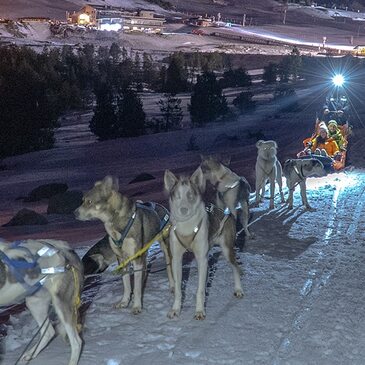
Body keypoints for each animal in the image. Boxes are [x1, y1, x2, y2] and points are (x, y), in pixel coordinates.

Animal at [74, 174, 173, 312]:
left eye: (89, 202)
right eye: (82, 200)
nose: (74, 213)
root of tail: (162, 207)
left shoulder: (136, 257)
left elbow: (136, 287)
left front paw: (136, 306)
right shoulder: (122, 259)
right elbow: (127, 284)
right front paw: (124, 302)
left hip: (165, 247)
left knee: (169, 268)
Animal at [164, 166, 243, 320]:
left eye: (190, 195)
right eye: (177, 196)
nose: (183, 209)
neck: (187, 227)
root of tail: (225, 210)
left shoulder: (202, 259)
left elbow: (200, 290)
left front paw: (200, 311)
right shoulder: (177, 259)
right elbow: (178, 289)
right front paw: (176, 309)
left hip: (227, 249)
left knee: (235, 267)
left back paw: (238, 289)